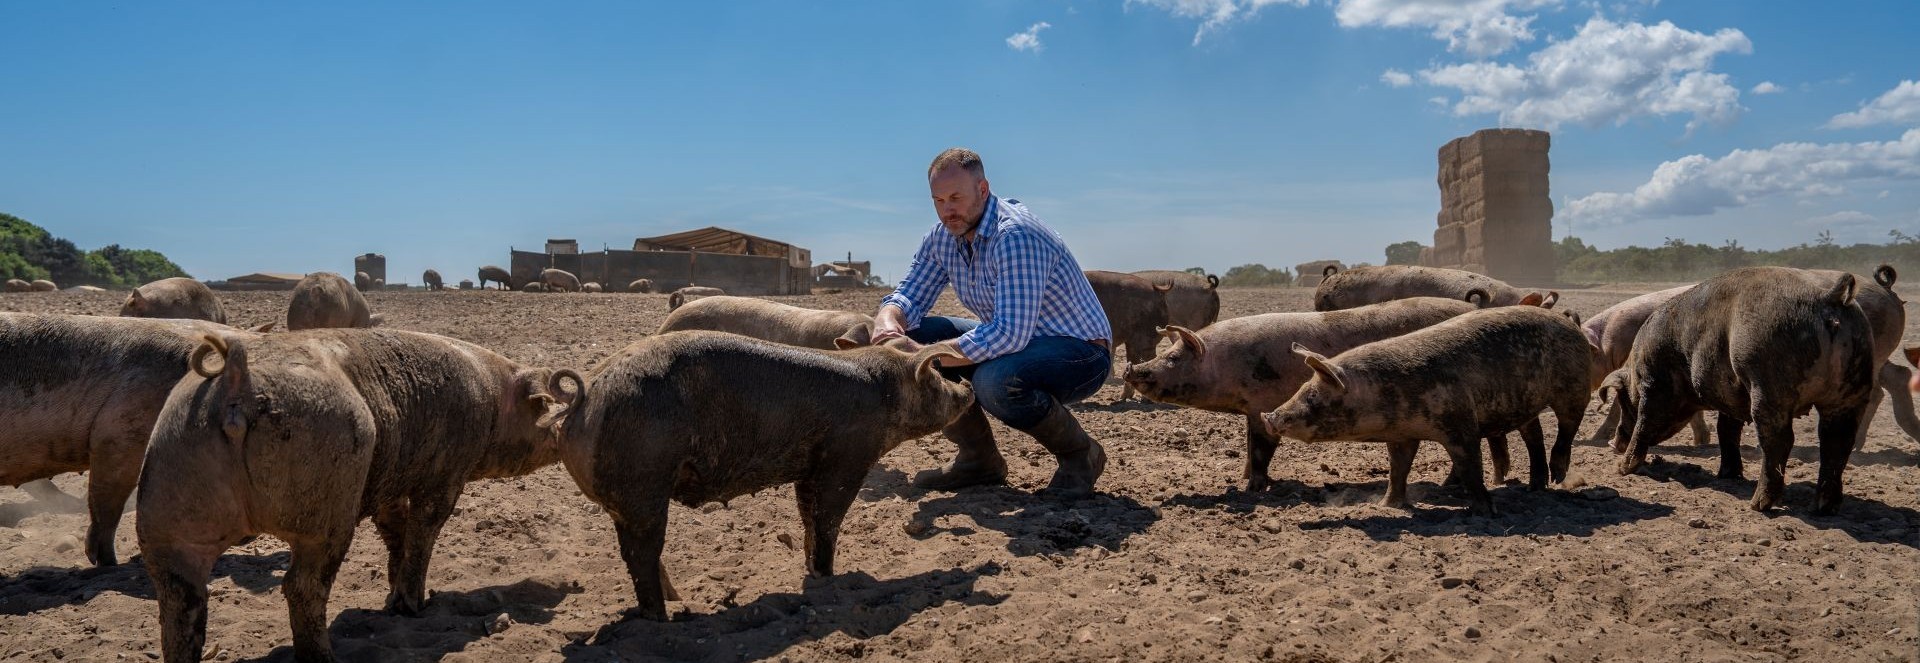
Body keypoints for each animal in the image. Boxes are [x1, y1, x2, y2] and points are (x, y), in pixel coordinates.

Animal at [137, 328, 582, 663]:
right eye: (545, 407)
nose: (564, 432)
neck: (493, 397)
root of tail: (235, 374)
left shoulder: (388, 484)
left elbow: (394, 531)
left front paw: (390, 598)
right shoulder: (446, 474)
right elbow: (423, 531)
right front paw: (413, 606)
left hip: (165, 503)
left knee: (180, 599)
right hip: (327, 508)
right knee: (302, 587)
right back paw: (325, 658)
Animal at [556, 331, 974, 621]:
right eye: (935, 375)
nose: (967, 385)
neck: (888, 391)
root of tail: (584, 394)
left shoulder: (808, 467)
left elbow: (808, 516)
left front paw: (814, 573)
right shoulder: (847, 457)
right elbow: (829, 517)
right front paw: (830, 576)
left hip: (628, 497)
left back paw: (675, 601)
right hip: (642, 482)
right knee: (640, 555)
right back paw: (666, 616)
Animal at [1124, 293, 1532, 492]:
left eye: (1174, 357)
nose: (1132, 369)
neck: (1226, 362)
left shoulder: (1264, 403)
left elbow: (1262, 449)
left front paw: (1253, 488)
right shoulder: (1252, 409)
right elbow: (1249, 445)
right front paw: (1241, 478)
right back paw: (1497, 480)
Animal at [1262, 305, 1594, 516]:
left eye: (1313, 395)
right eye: (1302, 387)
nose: (1269, 417)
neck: (1380, 393)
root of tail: (1566, 319)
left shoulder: (1460, 423)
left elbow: (1470, 467)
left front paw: (1487, 512)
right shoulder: (1401, 434)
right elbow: (1398, 468)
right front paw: (1387, 506)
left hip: (1575, 386)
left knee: (1568, 426)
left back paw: (1558, 476)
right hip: (1525, 403)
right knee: (1533, 436)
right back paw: (1535, 489)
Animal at [1613, 267, 1875, 514]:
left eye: (1624, 400)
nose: (1615, 444)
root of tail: (1830, 297)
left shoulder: (1654, 383)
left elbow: (1645, 423)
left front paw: (1623, 469)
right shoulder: (1730, 395)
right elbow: (1727, 430)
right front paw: (1728, 475)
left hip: (1769, 383)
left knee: (1779, 440)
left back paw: (1758, 505)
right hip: (1852, 390)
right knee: (1837, 441)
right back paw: (1823, 508)